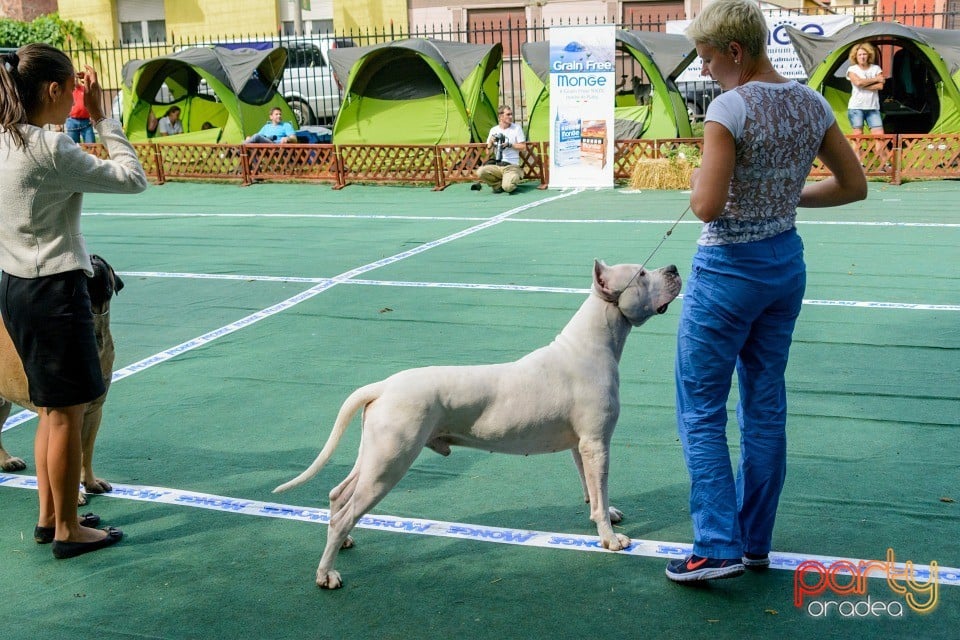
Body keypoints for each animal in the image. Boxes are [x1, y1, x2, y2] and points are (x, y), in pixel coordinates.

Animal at [0, 256, 124, 504]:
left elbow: (86, 452)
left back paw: (7, 460)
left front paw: (90, 482)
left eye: (102, 260)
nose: (93, 257)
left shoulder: (94, 412)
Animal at [276, 262, 684, 592]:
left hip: (375, 454)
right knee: (346, 512)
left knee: (338, 495)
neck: (591, 344)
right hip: (390, 463)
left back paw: (342, 543)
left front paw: (606, 513)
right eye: (642, 275)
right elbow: (599, 488)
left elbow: (592, 488)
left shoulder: (582, 444)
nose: (674, 268)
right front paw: (610, 539)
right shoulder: (597, 443)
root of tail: (383, 386)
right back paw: (326, 574)